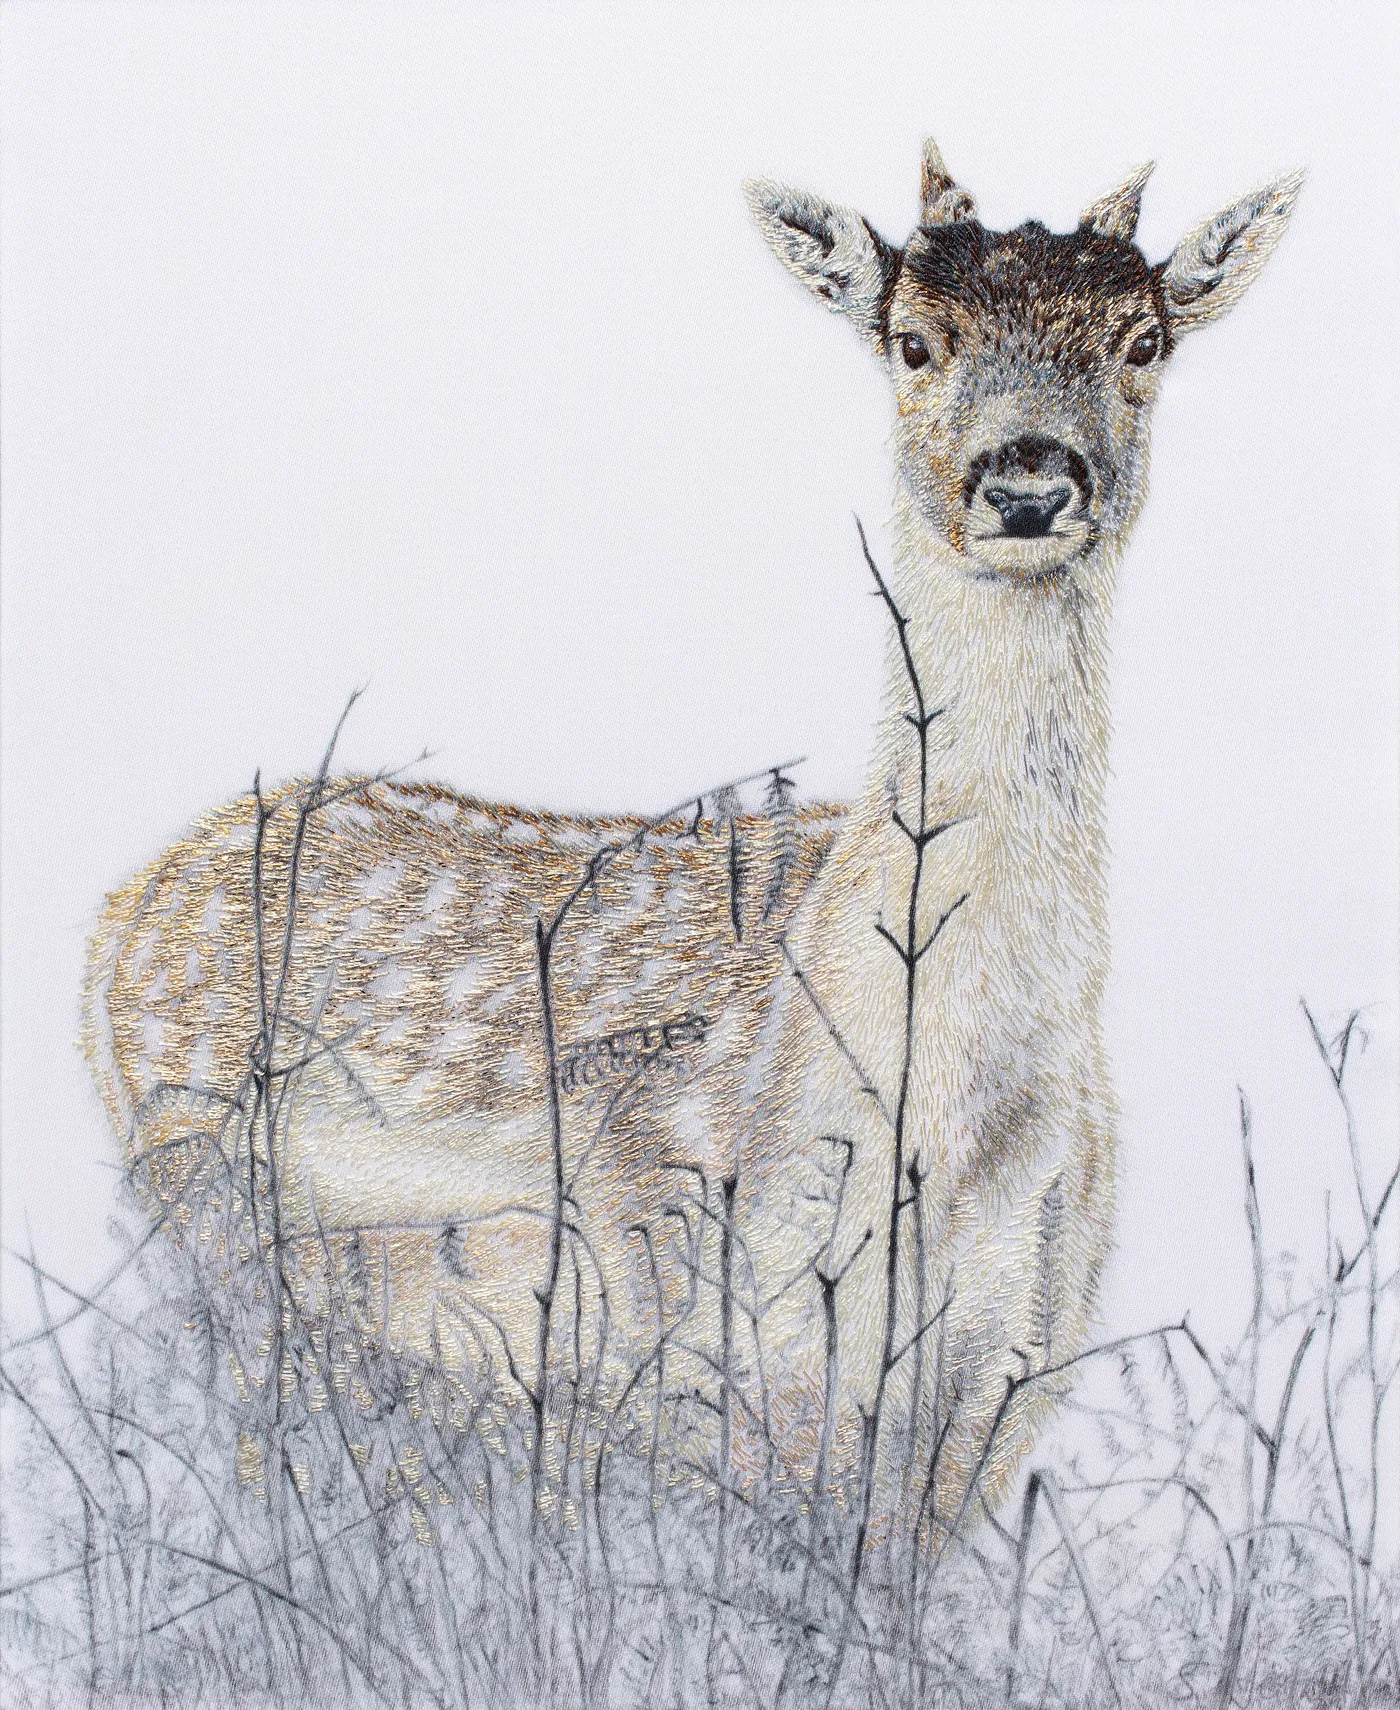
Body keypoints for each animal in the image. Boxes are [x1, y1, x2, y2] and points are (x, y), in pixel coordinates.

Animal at [81, 138, 1301, 1551]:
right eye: (912, 340)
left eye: (1141, 339)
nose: (1027, 481)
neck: (944, 1124)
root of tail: (118, 914)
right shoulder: (696, 1306)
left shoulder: (1010, 1367)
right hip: (211, 1204)